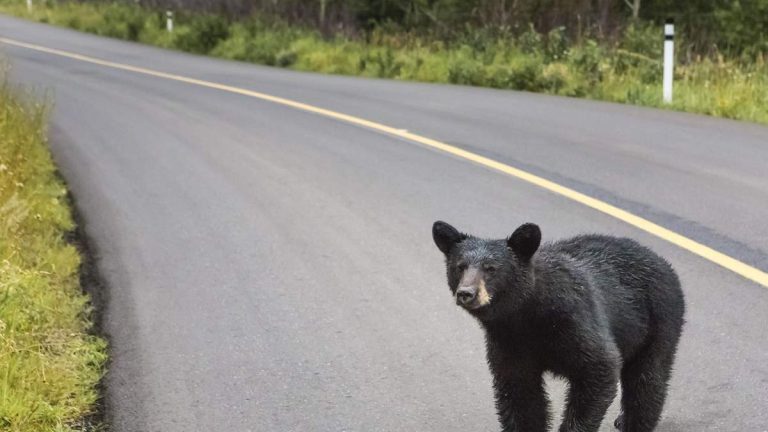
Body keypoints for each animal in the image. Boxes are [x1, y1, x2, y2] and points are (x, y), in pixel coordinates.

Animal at [432, 221, 685, 432]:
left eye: (491, 268)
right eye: (460, 266)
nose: (466, 293)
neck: (525, 315)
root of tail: (660, 260)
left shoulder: (576, 322)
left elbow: (599, 370)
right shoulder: (507, 343)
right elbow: (519, 394)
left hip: (659, 320)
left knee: (647, 380)